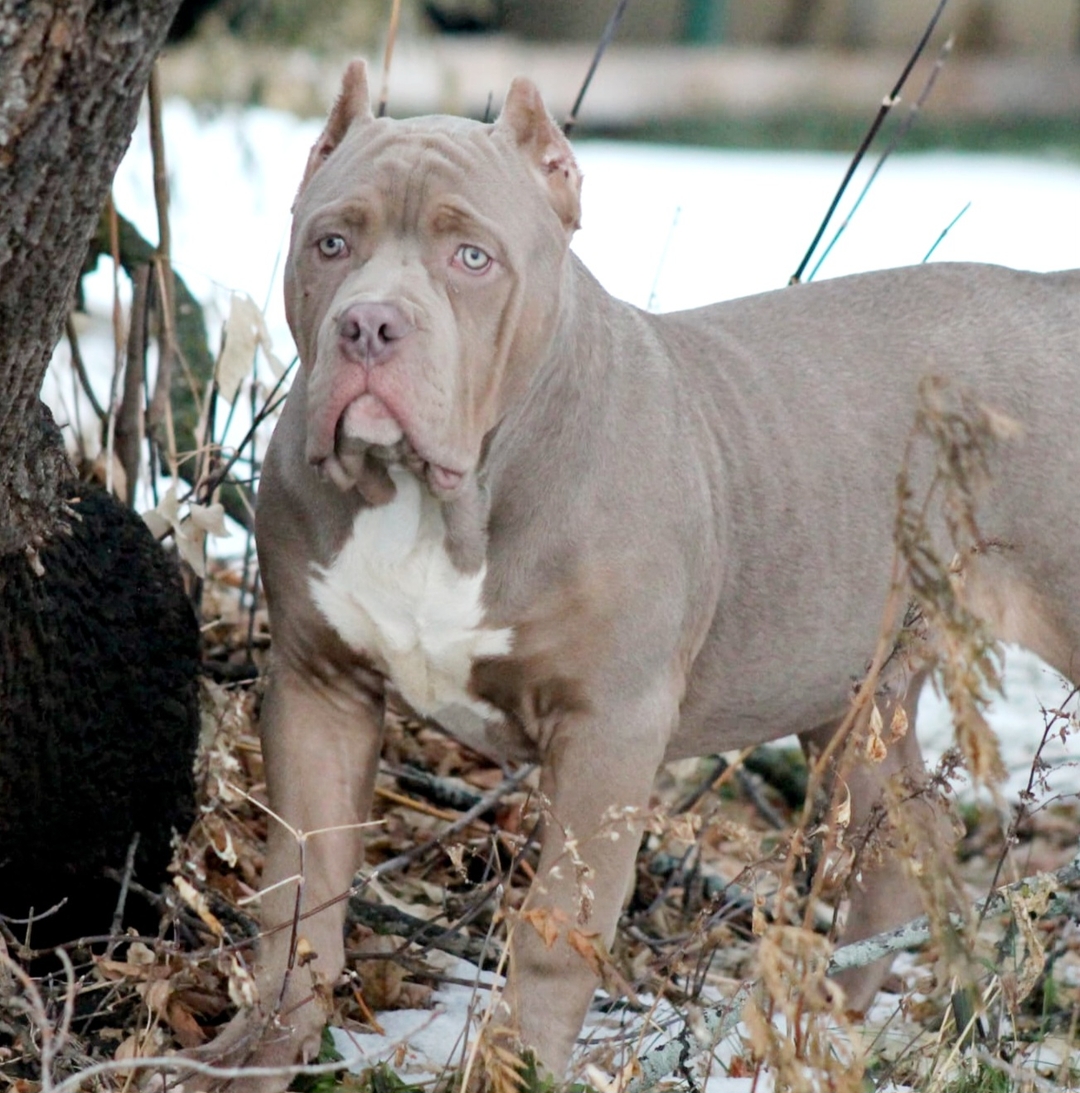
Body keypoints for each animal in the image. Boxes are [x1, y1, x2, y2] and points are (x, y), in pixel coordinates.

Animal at [195, 63, 1080, 1088]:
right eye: (331, 242)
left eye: (472, 257)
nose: (369, 323)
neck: (439, 495)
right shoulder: (319, 688)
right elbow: (299, 888)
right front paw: (263, 1048)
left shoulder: (607, 726)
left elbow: (557, 925)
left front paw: (516, 1068)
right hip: (854, 692)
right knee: (904, 848)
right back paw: (833, 1028)